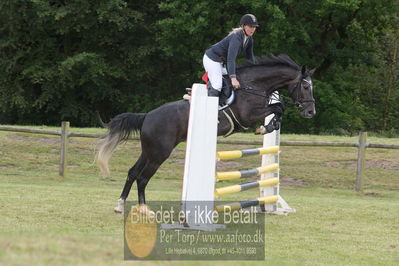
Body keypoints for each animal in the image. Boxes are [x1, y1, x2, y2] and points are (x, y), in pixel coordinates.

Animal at [96, 53, 316, 212]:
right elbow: (279, 107)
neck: (253, 86)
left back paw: (120, 205)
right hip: (160, 153)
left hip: (149, 151)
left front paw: (269, 126)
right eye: (306, 86)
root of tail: (147, 116)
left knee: (133, 172)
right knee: (142, 178)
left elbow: (278, 108)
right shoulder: (248, 116)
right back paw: (144, 209)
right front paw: (265, 127)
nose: (310, 112)